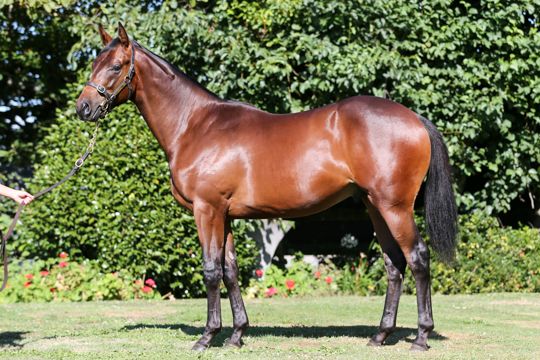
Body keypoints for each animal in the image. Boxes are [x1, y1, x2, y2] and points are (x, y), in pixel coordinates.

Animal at [76, 23, 456, 352]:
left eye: (115, 66)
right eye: (94, 63)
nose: (84, 108)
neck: (195, 125)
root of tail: (414, 118)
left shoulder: (206, 210)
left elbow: (211, 270)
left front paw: (207, 337)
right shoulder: (225, 215)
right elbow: (230, 271)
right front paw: (236, 335)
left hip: (394, 207)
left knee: (418, 258)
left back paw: (421, 337)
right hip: (374, 205)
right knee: (394, 263)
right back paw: (380, 335)